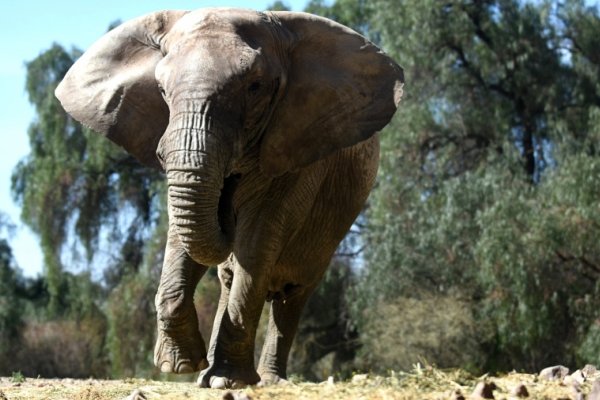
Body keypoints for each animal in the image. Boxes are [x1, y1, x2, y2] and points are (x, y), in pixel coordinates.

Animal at [56, 6, 404, 388]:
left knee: (292, 293)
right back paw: (205, 375)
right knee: (229, 278)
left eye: (255, 87)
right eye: (161, 89)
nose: (227, 206)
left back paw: (266, 380)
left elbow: (256, 242)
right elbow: (182, 237)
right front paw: (180, 366)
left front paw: (229, 381)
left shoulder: (297, 151)